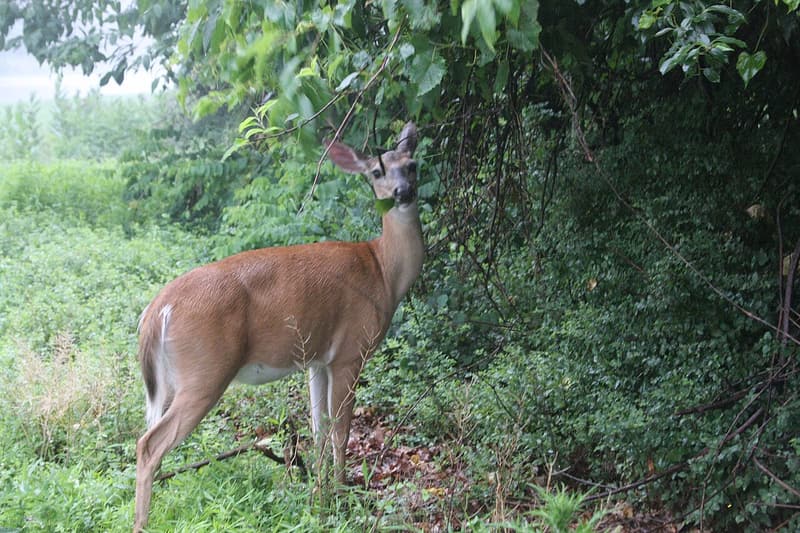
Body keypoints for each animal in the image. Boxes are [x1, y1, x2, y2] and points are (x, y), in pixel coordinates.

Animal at [133, 122, 423, 531]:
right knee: (148, 444)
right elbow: (341, 431)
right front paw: (342, 498)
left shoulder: (317, 359)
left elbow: (319, 429)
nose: (402, 192)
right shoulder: (351, 351)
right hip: (204, 371)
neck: (383, 270)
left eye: (412, 165)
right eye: (377, 172)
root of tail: (157, 309)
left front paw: (319, 498)